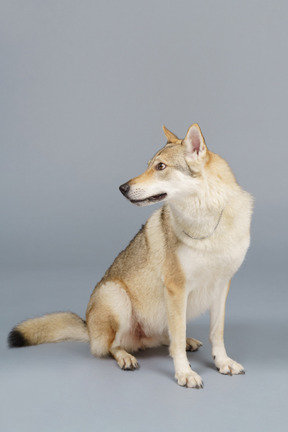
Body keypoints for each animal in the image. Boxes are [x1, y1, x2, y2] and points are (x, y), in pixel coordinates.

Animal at [8, 122, 252, 388]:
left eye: (160, 167)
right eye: (148, 165)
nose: (122, 188)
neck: (208, 222)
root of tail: (89, 329)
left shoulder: (221, 286)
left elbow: (215, 333)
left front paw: (223, 362)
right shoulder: (176, 288)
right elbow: (176, 342)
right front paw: (185, 373)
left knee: (165, 336)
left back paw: (186, 342)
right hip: (117, 297)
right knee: (113, 346)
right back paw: (126, 357)